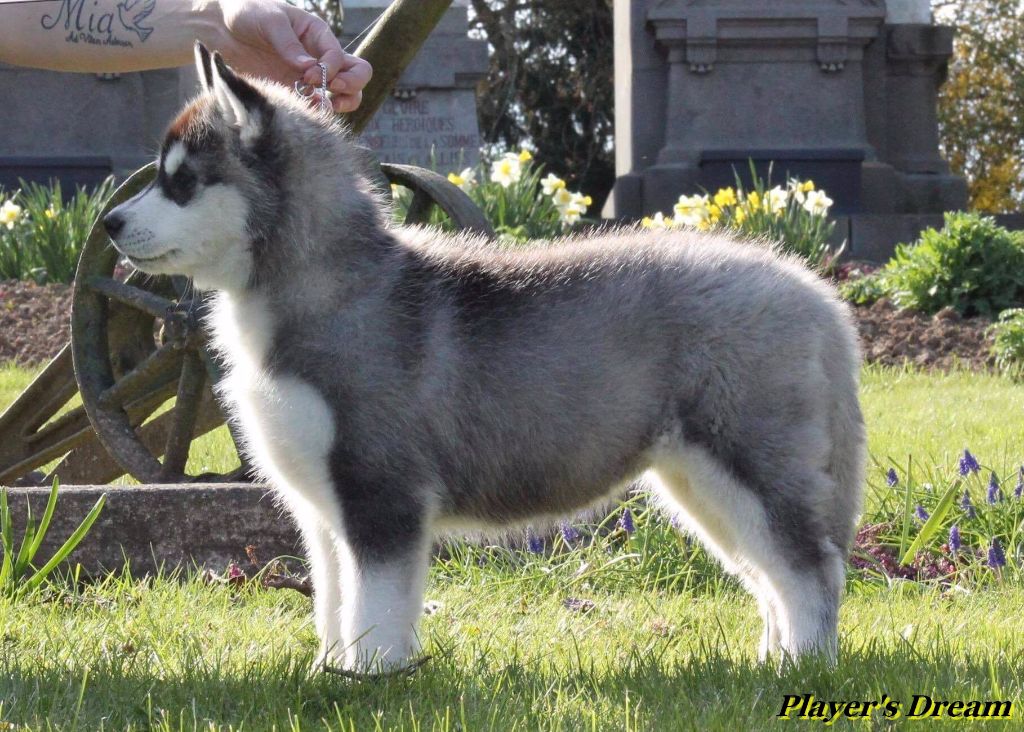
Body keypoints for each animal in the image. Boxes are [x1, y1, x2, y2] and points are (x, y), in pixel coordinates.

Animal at [102, 43, 866, 673]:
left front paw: (371, 679)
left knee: (810, 568)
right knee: (769, 573)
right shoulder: (322, 509)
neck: (320, 286)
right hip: (700, 481)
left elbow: (376, 605)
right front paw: (329, 671)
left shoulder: (382, 493)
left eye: (182, 181)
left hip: (748, 462)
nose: (107, 222)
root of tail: (812, 287)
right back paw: (771, 660)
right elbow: (334, 600)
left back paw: (804, 666)